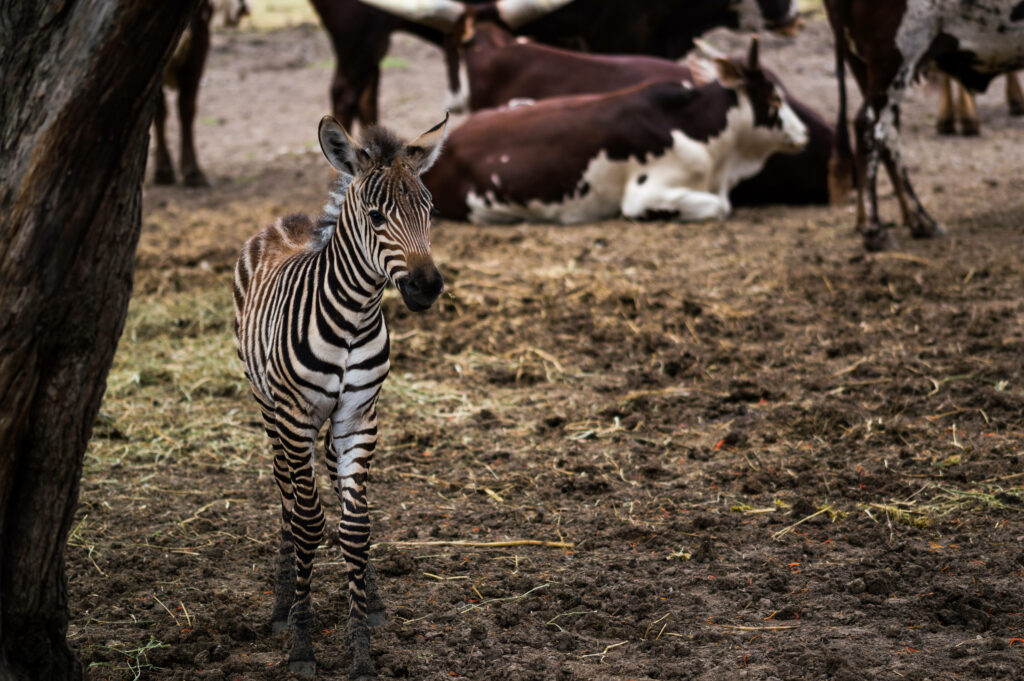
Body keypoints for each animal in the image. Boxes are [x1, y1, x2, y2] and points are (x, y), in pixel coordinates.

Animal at [233, 113, 449, 679]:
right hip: (270, 409)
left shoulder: (359, 416)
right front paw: (302, 643)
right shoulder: (295, 415)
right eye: (376, 216)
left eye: (431, 211)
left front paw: (361, 648)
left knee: (328, 482)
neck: (354, 317)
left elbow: (356, 525)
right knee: (287, 494)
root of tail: (290, 220)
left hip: (328, 426)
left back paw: (369, 599)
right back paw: (282, 605)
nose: (427, 288)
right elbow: (308, 521)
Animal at [825, 0, 1024, 250]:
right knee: (869, 125)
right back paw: (876, 230)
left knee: (889, 133)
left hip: (863, 62)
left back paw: (920, 220)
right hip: (896, 55)